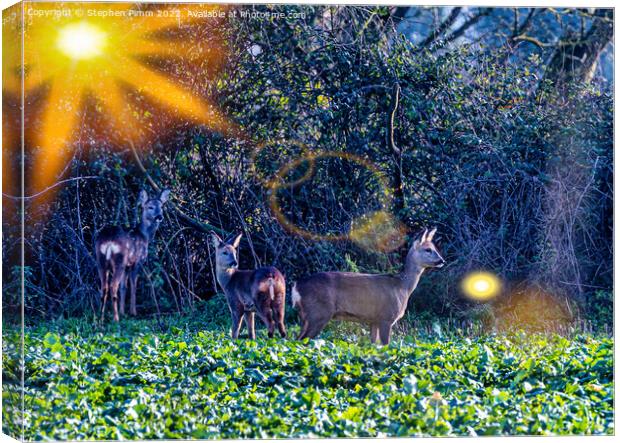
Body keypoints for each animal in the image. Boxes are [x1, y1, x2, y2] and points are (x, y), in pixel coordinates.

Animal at [292, 227, 444, 346]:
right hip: (319, 312)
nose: (442, 260)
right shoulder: (386, 317)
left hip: (306, 315)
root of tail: (297, 287)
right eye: (428, 249)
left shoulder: (373, 321)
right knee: (301, 341)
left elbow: (373, 345)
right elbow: (386, 345)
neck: (402, 287)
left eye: (435, 248)